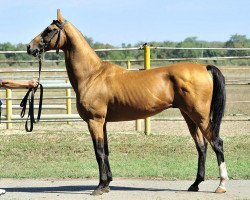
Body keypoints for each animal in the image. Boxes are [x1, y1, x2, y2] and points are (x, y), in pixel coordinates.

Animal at [26, 9, 229, 195]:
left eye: (49, 30)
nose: (30, 47)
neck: (92, 75)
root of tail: (204, 67)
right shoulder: (103, 122)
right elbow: (106, 150)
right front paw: (107, 183)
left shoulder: (95, 121)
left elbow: (99, 152)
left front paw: (100, 187)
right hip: (188, 115)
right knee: (201, 146)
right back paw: (195, 184)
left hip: (200, 115)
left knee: (216, 143)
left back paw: (221, 185)